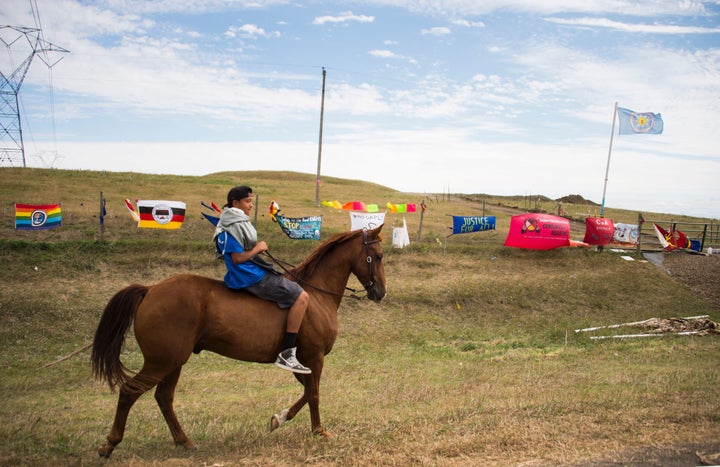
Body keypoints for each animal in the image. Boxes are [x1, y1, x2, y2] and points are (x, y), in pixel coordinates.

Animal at [92, 225, 386, 458]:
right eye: (379, 256)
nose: (381, 293)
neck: (315, 295)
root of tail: (150, 290)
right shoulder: (314, 357)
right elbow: (313, 394)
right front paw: (319, 431)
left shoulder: (302, 362)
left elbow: (305, 392)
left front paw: (279, 419)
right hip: (161, 362)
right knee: (130, 391)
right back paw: (109, 445)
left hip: (172, 362)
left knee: (164, 398)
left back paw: (184, 441)